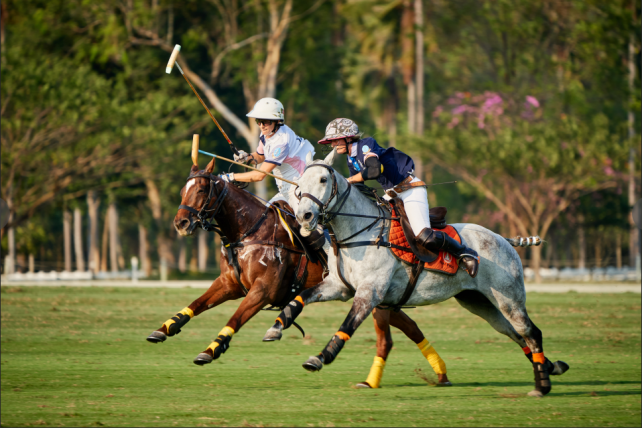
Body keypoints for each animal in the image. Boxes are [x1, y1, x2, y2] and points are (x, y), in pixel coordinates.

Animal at [147, 159, 450, 390]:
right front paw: (164, 329)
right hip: (382, 297)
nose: (181, 222)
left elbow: (236, 317)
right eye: (183, 189)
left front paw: (211, 350)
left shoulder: (262, 290)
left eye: (200, 189)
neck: (250, 231)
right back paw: (440, 373)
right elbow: (197, 304)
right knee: (409, 326)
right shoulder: (229, 284)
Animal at [262, 149, 568, 396]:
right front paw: (275, 328)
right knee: (516, 333)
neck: (359, 233)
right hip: (479, 302)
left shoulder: (370, 293)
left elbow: (347, 326)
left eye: (323, 180)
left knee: (531, 332)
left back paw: (542, 386)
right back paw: (551, 367)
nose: (304, 217)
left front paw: (320, 358)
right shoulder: (339, 287)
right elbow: (300, 298)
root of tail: (505, 240)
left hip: (508, 297)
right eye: (299, 185)